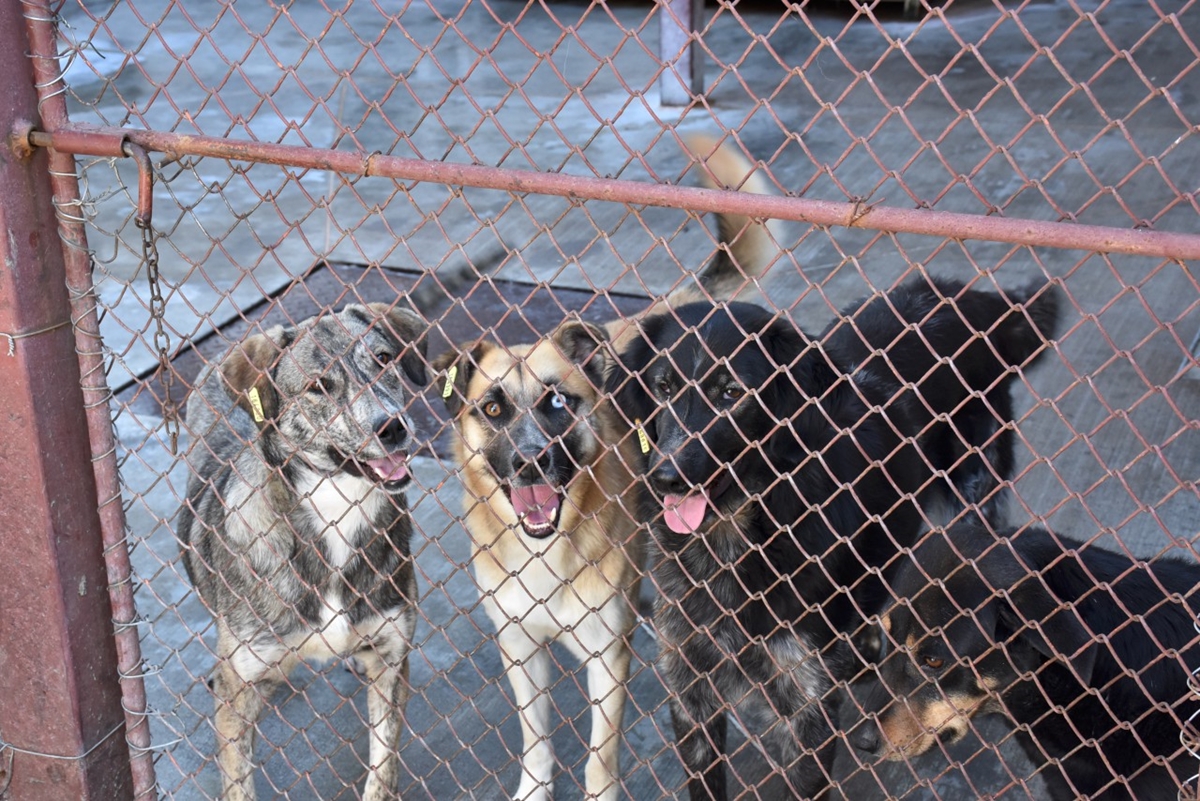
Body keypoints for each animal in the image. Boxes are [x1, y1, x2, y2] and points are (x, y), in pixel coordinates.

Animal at [175, 302, 427, 801]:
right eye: (318, 386)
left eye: (384, 359)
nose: (393, 428)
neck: (337, 512)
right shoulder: (238, 692)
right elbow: (238, 781)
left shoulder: (393, 661)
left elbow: (383, 770)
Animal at [436, 136, 782, 801]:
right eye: (491, 408)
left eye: (558, 402)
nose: (530, 463)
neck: (544, 553)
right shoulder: (519, 647)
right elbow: (537, 742)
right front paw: (533, 789)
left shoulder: (606, 655)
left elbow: (600, 756)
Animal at [609, 276, 1060, 801]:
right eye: (662, 387)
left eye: (731, 393)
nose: (667, 478)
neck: (732, 542)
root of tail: (965, 293)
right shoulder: (690, 689)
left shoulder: (807, 708)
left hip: (975, 494)